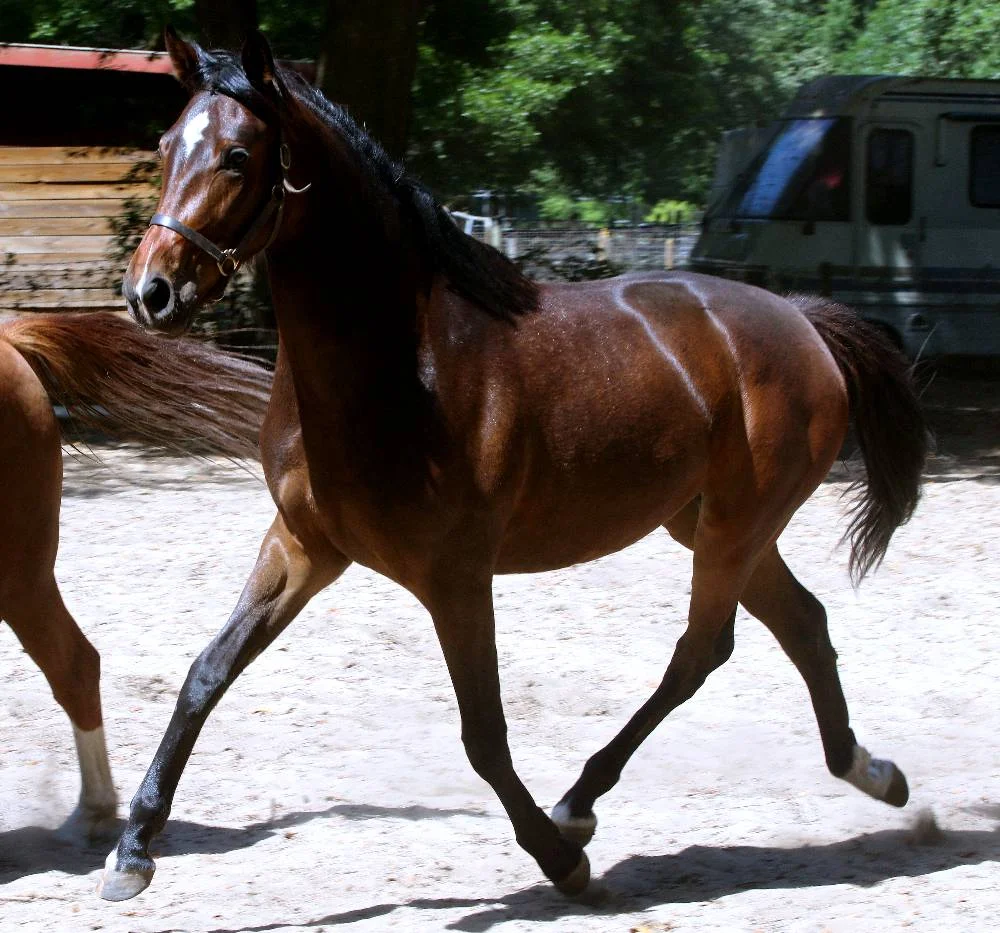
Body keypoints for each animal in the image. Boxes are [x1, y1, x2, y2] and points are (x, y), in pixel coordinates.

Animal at [98, 29, 928, 900]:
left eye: (236, 155)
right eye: (165, 146)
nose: (150, 291)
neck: (401, 368)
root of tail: (800, 321)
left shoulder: (455, 576)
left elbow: (484, 733)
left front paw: (560, 860)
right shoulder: (303, 545)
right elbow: (206, 673)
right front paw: (134, 848)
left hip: (736, 527)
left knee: (702, 650)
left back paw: (580, 802)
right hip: (712, 525)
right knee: (802, 623)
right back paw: (872, 772)